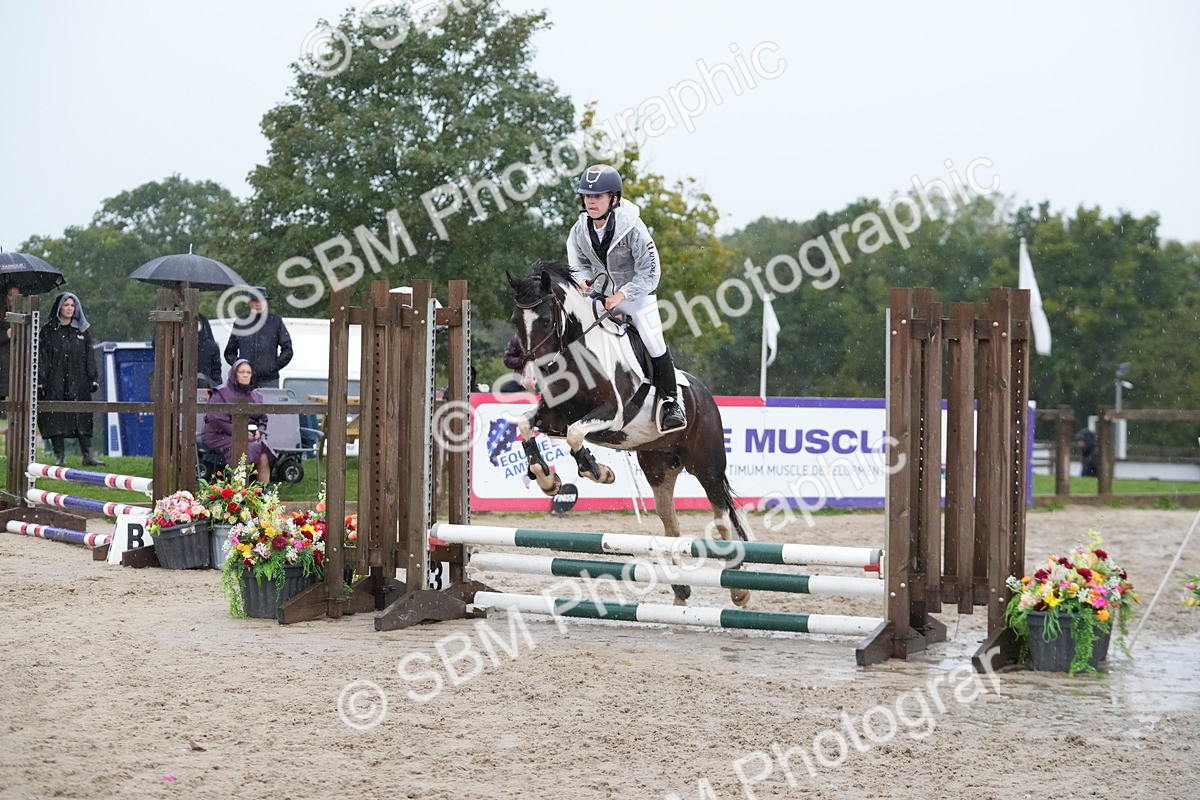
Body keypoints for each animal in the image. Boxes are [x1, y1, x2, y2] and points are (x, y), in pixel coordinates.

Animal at [506, 261, 751, 608]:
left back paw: (739, 590)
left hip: (707, 467)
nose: (528, 380)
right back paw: (680, 594)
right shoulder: (555, 418)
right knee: (671, 525)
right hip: (659, 468)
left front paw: (598, 470)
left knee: (721, 518)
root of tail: (704, 395)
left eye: (545, 320)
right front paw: (546, 478)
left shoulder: (612, 415)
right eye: (516, 320)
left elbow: (577, 435)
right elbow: (526, 425)